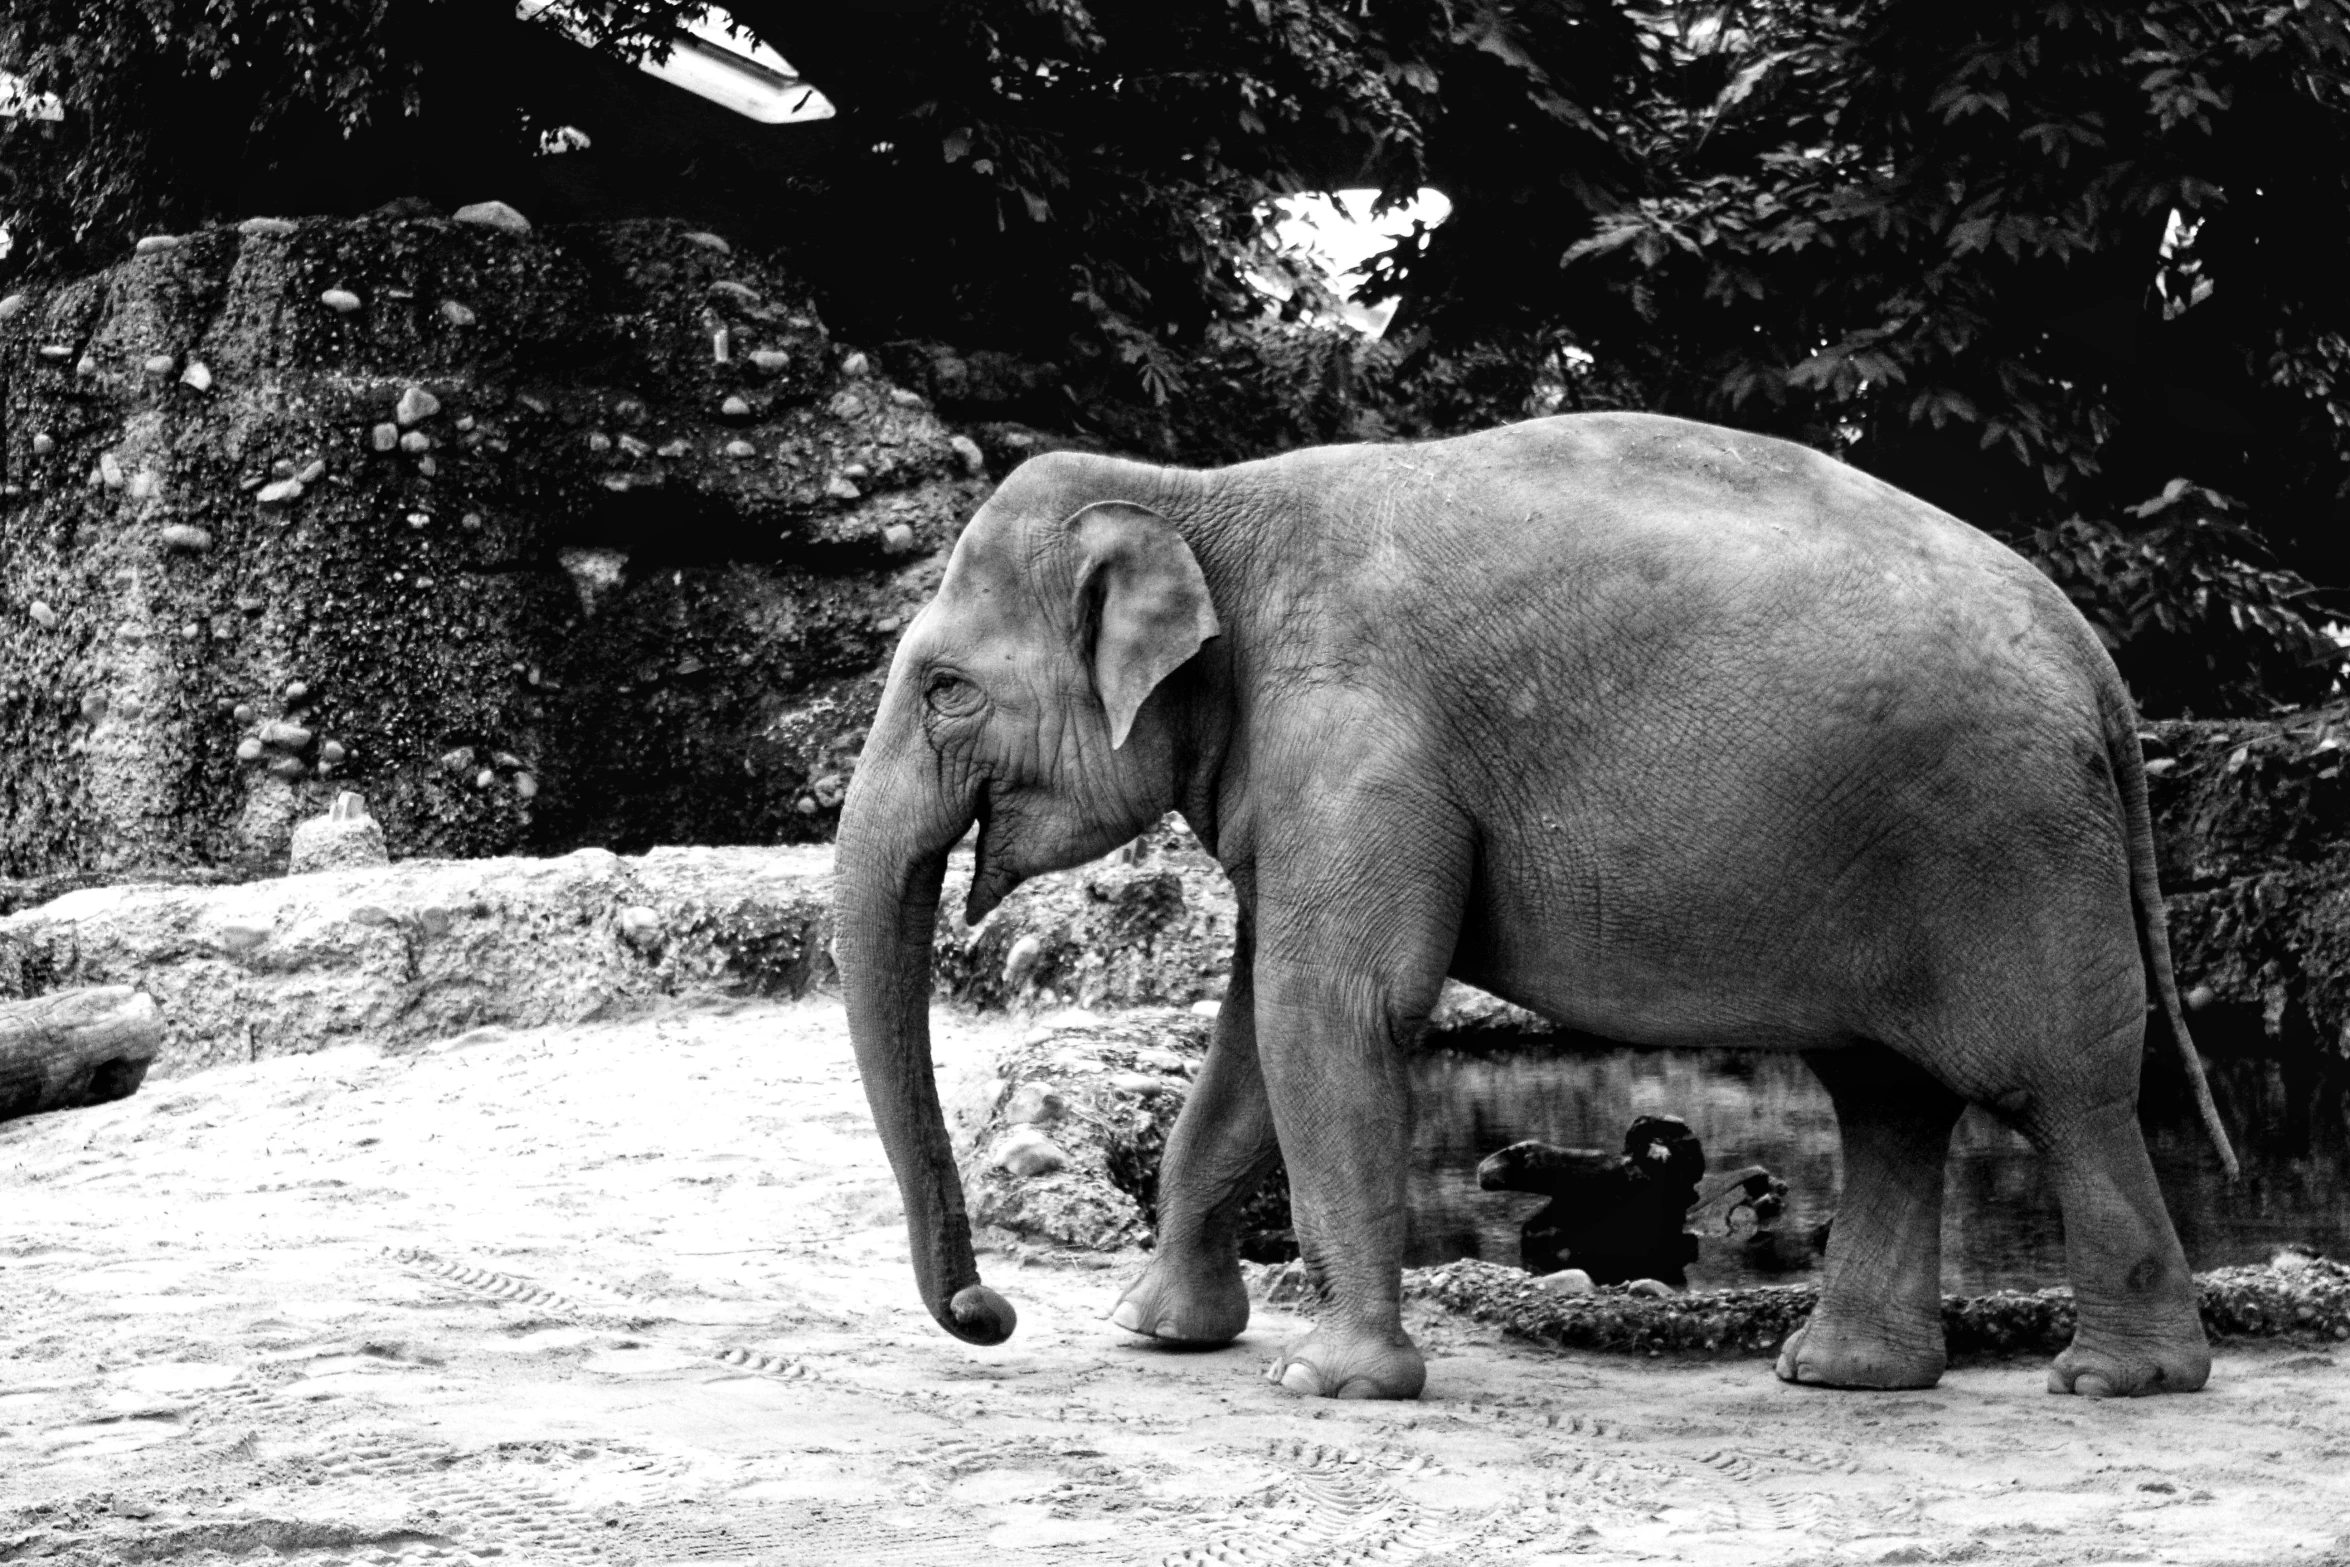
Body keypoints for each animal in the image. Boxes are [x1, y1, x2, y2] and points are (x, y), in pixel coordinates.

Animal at [831, 411, 2237, 1400]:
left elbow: (1333, 1011)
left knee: (2055, 1087)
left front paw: (1325, 1382)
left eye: (946, 689)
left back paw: (2113, 1378)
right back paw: (1844, 1373)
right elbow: (1251, 1027)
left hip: (2007, 844)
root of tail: (2098, 664)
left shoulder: (1358, 737)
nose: (991, 1316)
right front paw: (1157, 1333)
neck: (1202, 495)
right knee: (1887, 1096)